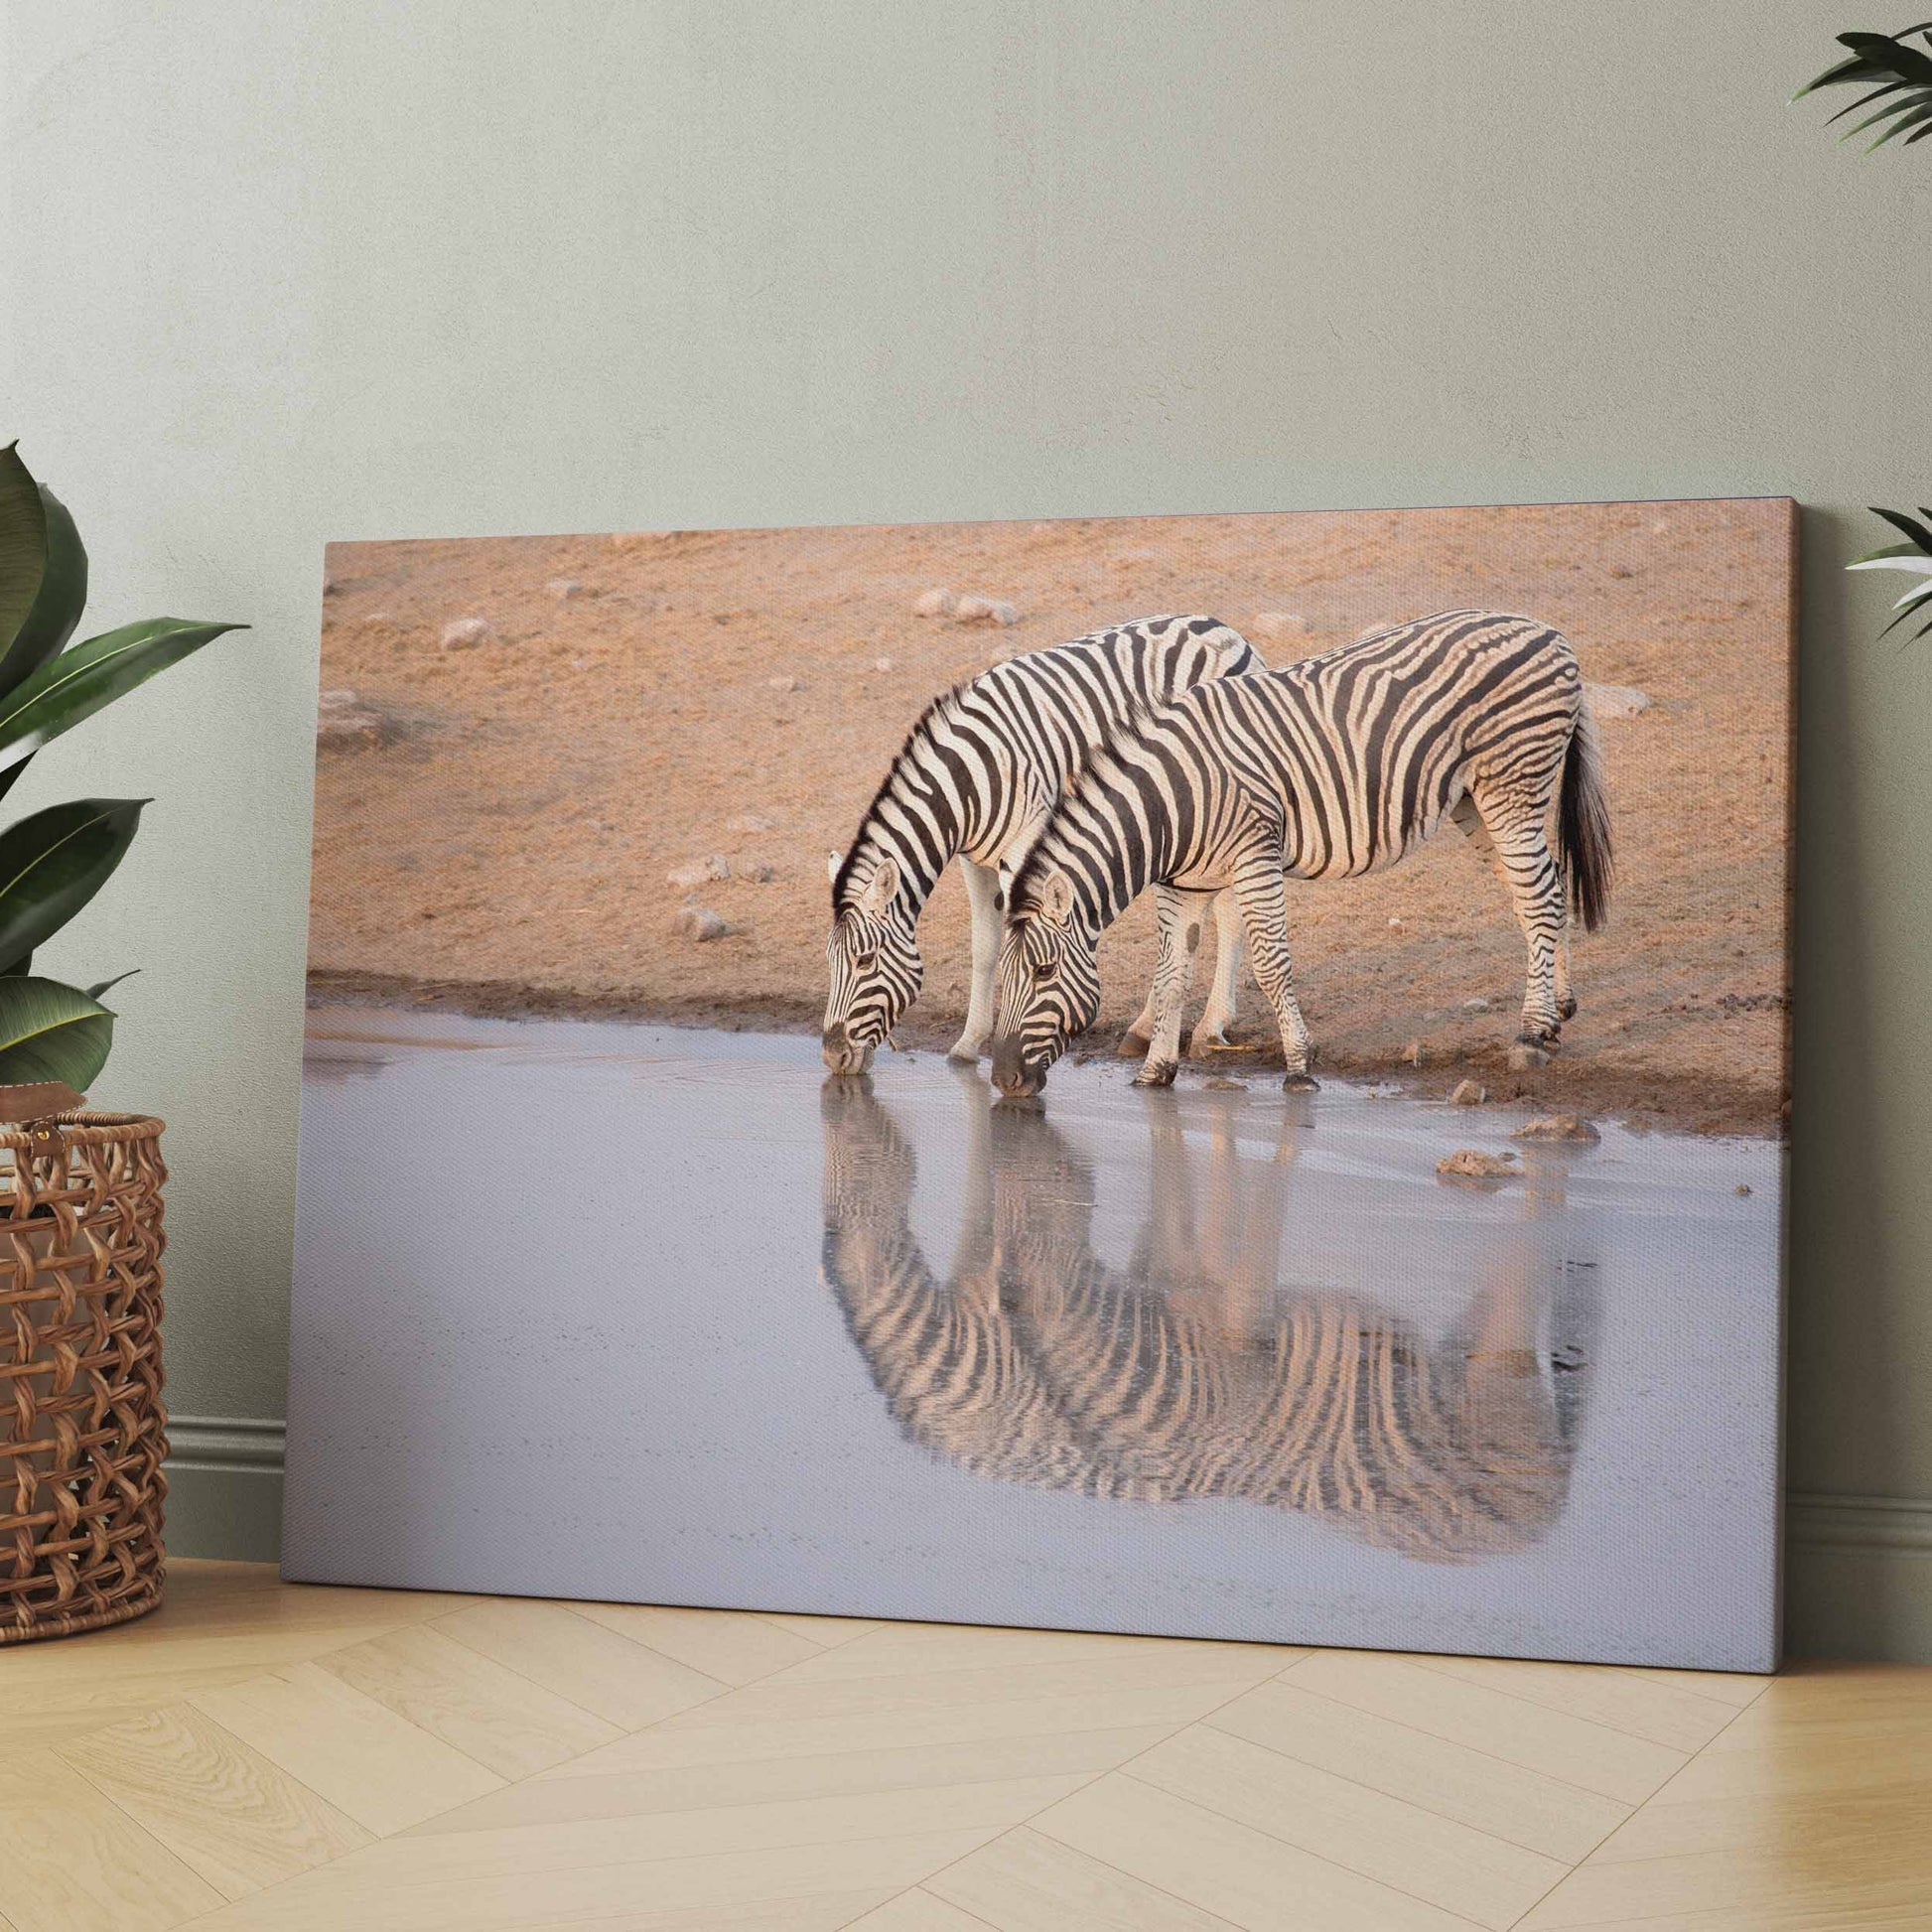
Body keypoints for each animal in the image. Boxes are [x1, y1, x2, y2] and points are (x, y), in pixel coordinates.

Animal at [822, 615, 1269, 1076]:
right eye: (830, 962)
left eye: (864, 961)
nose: (834, 1056)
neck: (968, 777)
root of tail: (1223, 628)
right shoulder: (974, 862)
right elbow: (985, 949)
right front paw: (968, 1044)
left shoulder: (1022, 851)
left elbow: (1015, 944)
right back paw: (1155, 1028)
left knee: (1229, 915)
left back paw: (1208, 1027)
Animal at [989, 611, 1613, 1098]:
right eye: (1003, 976)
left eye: (1043, 972)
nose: (1002, 1080)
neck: (1170, 804)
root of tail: (1548, 630)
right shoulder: (1184, 885)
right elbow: (1169, 975)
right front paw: (1154, 1072)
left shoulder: (1255, 854)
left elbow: (1271, 963)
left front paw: (1299, 1066)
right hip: (1475, 801)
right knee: (1543, 889)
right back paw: (1555, 1014)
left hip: (1512, 783)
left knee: (1538, 896)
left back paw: (1529, 1034)